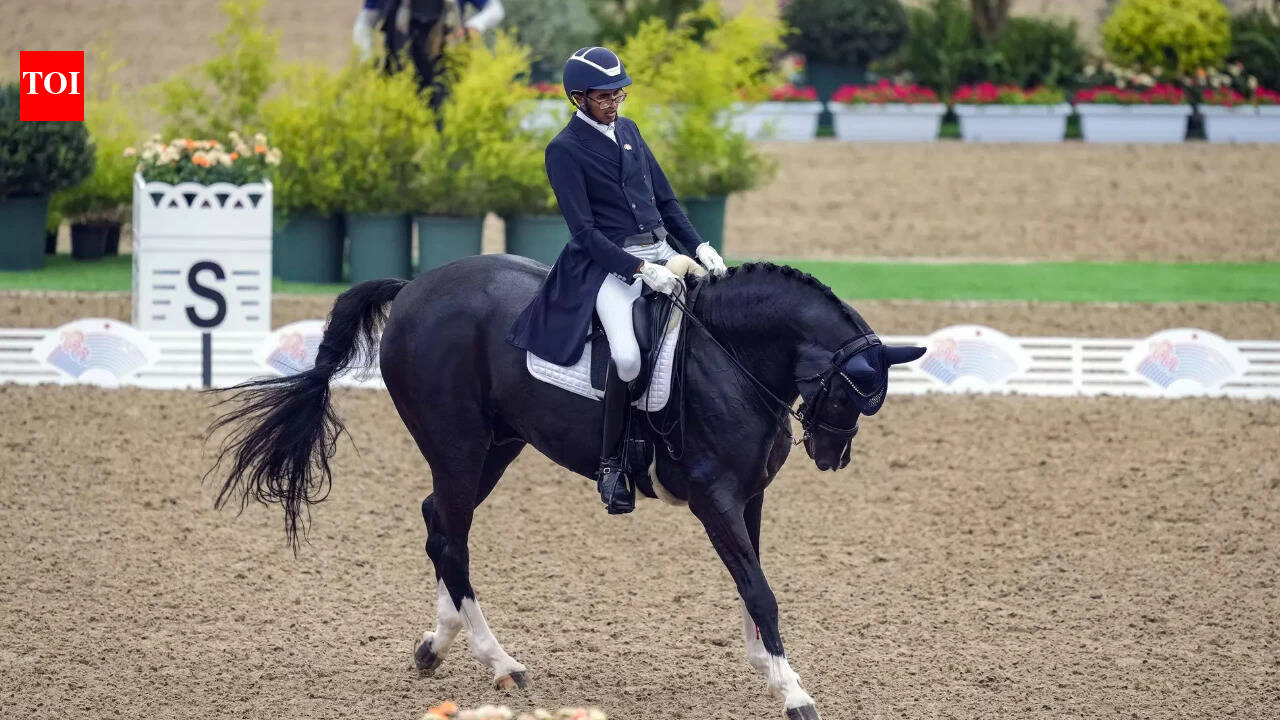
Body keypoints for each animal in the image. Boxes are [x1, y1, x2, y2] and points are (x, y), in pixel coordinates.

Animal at [209, 253, 925, 720]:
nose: (833, 457)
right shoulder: (715, 498)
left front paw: (768, 669)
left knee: (438, 525)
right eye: (855, 392)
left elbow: (753, 585)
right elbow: (759, 588)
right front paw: (793, 690)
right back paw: (501, 662)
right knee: (452, 539)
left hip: (496, 447)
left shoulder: (750, 496)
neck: (728, 354)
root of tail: (415, 287)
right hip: (458, 446)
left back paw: (437, 646)